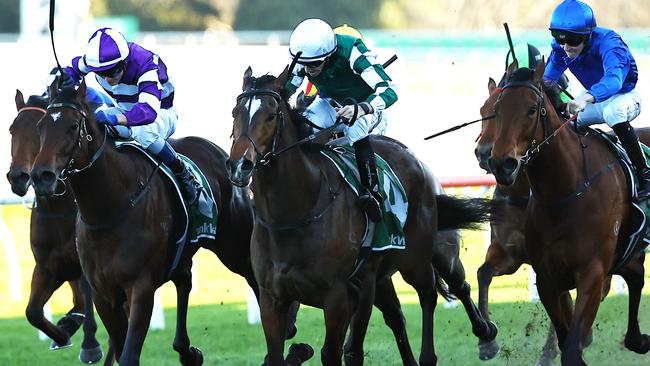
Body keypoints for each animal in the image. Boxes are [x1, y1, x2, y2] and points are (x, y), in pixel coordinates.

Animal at [6, 90, 102, 364]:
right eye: (12, 129)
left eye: (37, 130)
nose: (18, 177)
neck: (57, 209)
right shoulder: (49, 265)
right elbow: (33, 312)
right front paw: (63, 332)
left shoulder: (85, 265)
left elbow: (86, 302)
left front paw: (89, 345)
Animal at [27, 78, 258, 366]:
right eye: (40, 127)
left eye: (72, 126)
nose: (41, 176)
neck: (108, 210)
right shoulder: (102, 292)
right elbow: (38, 314)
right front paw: (66, 334)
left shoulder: (141, 287)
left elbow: (127, 354)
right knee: (184, 279)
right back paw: (187, 351)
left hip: (234, 247)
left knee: (256, 278)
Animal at [225, 67, 494, 364]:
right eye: (235, 112)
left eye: (271, 115)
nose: (240, 165)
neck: (295, 214)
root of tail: (413, 159)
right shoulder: (272, 298)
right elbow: (277, 354)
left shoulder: (338, 295)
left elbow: (336, 352)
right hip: (380, 276)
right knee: (397, 314)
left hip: (419, 257)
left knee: (438, 290)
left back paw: (479, 335)